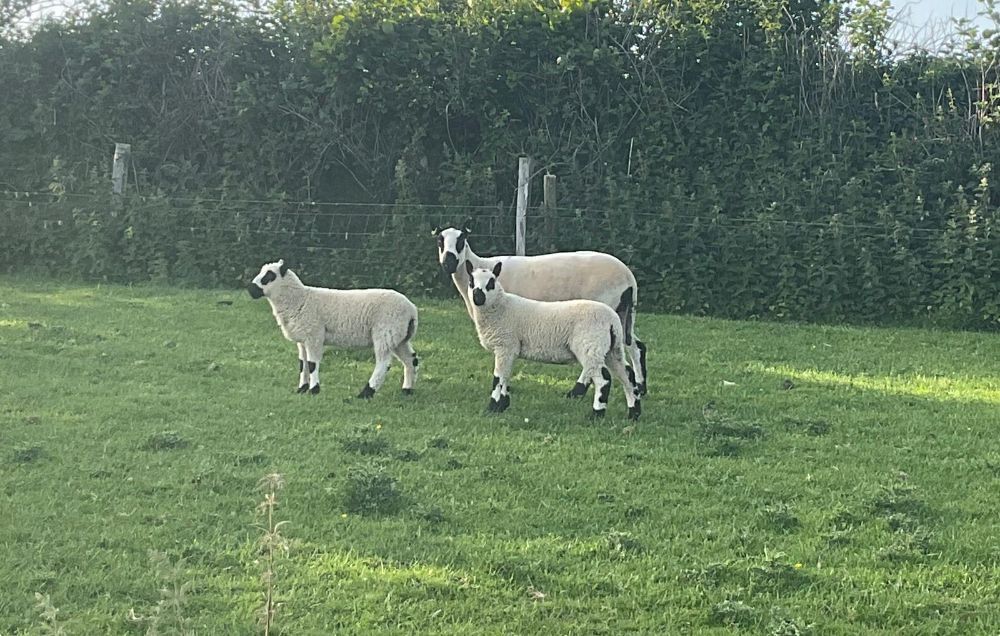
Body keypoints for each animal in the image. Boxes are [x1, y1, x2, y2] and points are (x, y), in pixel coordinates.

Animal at [247, 260, 419, 399]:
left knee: (383, 364)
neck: (300, 299)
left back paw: (366, 393)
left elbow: (312, 364)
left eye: (269, 276)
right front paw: (301, 389)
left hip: (385, 332)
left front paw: (314, 390)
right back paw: (407, 390)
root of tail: (412, 310)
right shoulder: (302, 339)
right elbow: (302, 364)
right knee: (411, 360)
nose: (250, 289)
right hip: (399, 337)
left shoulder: (314, 335)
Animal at [435, 223, 647, 396]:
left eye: (461, 240)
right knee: (635, 346)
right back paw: (640, 387)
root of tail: (629, 278)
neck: (481, 266)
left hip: (602, 313)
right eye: (440, 241)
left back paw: (577, 391)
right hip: (623, 313)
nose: (448, 263)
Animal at [464, 260, 641, 420]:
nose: (478, 298)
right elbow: (506, 376)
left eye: (491, 282)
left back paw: (596, 414)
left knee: (603, 379)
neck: (501, 308)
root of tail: (612, 320)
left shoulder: (505, 345)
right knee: (627, 375)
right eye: (471, 281)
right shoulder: (510, 349)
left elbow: (498, 378)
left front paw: (493, 408)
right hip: (612, 349)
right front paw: (503, 404)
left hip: (590, 346)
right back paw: (634, 413)